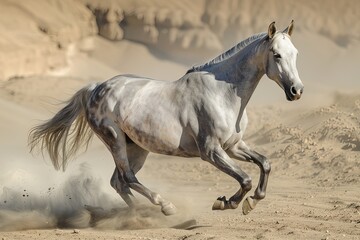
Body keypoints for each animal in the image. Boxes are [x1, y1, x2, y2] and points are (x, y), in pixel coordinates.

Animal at [28, 20, 304, 216]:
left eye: (296, 53)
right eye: (276, 54)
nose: (296, 91)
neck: (222, 94)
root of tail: (97, 87)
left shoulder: (234, 146)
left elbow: (265, 164)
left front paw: (253, 201)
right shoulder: (211, 151)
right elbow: (245, 179)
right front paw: (228, 203)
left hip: (136, 148)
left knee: (119, 182)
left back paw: (139, 214)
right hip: (115, 140)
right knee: (128, 178)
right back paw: (164, 206)